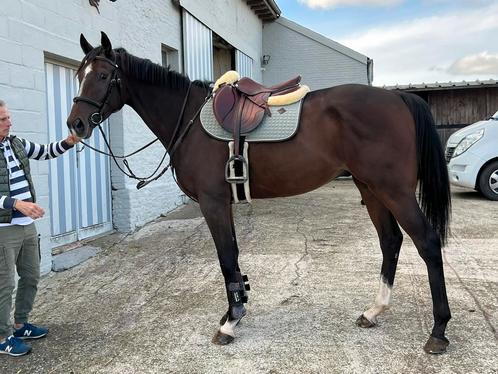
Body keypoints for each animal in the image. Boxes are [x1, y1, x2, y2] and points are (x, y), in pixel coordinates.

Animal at [68, 32, 454, 354]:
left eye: (102, 76)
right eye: (79, 74)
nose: (76, 124)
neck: (189, 121)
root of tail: (398, 97)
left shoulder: (212, 203)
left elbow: (226, 258)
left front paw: (229, 322)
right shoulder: (224, 203)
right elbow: (234, 257)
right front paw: (237, 308)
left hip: (393, 190)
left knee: (427, 242)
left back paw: (438, 331)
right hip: (370, 187)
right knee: (390, 240)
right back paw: (374, 311)